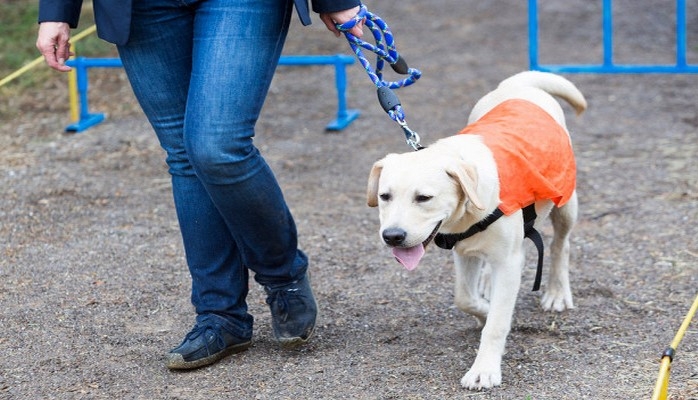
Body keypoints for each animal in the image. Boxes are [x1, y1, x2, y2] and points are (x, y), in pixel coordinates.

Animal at [368, 70, 584, 390]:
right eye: (384, 196)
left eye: (424, 198)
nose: (392, 236)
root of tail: (516, 85)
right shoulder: (463, 251)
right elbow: (465, 298)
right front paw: (484, 307)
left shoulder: (508, 262)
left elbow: (496, 323)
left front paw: (484, 370)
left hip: (565, 201)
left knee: (560, 245)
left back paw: (557, 292)